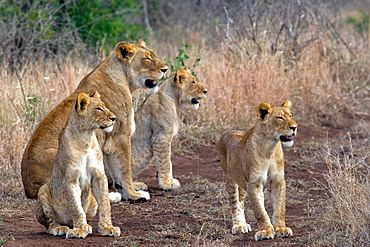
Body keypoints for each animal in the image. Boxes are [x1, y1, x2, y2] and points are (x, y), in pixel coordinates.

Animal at [20, 39, 168, 201]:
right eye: (147, 58)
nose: (166, 69)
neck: (124, 80)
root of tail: (30, 188)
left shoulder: (110, 142)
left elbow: (116, 171)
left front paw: (129, 188)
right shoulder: (120, 136)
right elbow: (125, 169)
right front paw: (133, 195)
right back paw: (112, 196)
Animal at [35, 91, 120, 238]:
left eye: (104, 106)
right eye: (99, 108)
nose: (114, 118)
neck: (86, 138)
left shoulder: (99, 176)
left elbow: (105, 204)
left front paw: (108, 228)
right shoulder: (70, 179)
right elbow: (76, 207)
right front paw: (79, 229)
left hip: (92, 201)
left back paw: (87, 226)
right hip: (43, 190)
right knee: (49, 224)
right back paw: (61, 228)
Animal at [217, 100, 298, 241]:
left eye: (291, 116)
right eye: (280, 117)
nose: (295, 127)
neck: (270, 149)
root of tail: (228, 132)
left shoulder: (278, 181)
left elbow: (280, 208)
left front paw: (281, 229)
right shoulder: (254, 183)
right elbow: (260, 211)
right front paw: (265, 231)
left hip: (242, 184)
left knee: (241, 203)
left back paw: (244, 225)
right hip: (230, 179)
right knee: (235, 203)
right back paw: (239, 226)